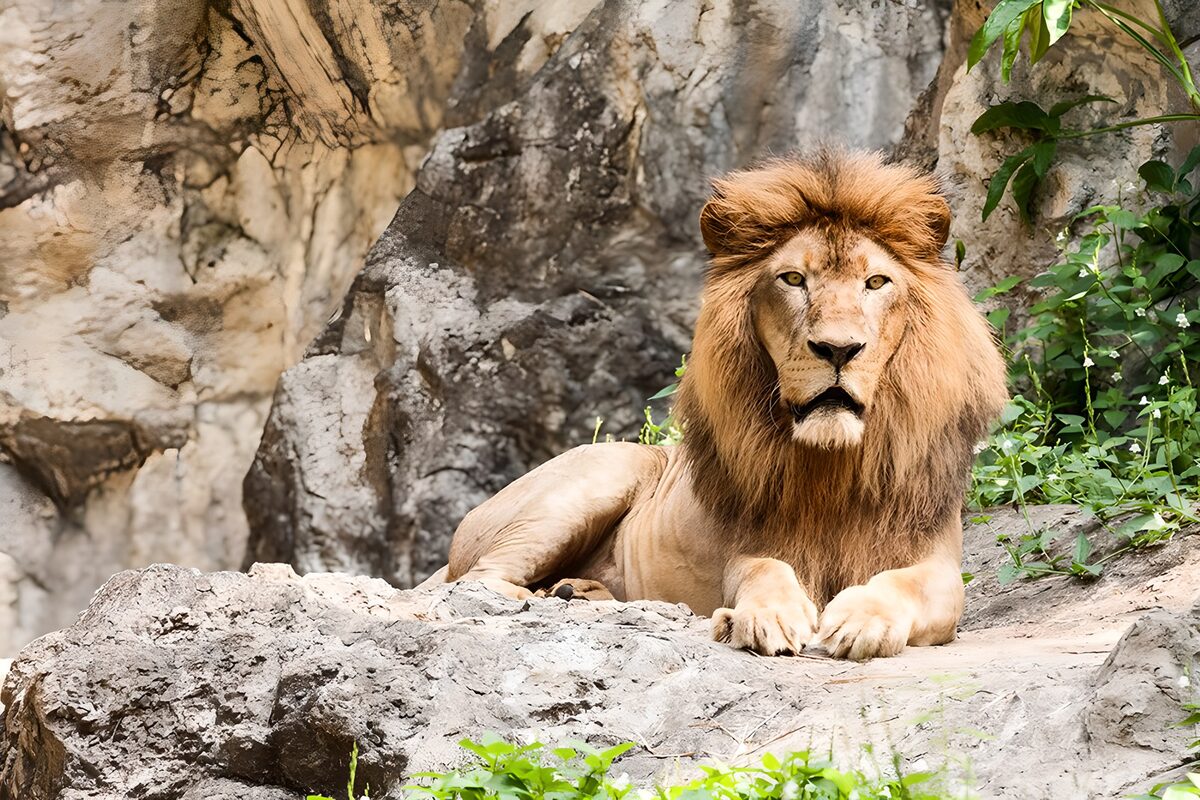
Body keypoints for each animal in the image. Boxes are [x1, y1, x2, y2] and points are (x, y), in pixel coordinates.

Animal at [420, 150, 1008, 660]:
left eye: (876, 282)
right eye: (793, 279)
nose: (838, 349)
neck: (832, 463)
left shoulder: (939, 565)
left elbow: (907, 583)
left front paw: (864, 619)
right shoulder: (747, 546)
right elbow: (761, 568)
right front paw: (766, 617)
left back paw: (579, 593)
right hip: (604, 472)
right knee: (471, 583)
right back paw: (546, 600)